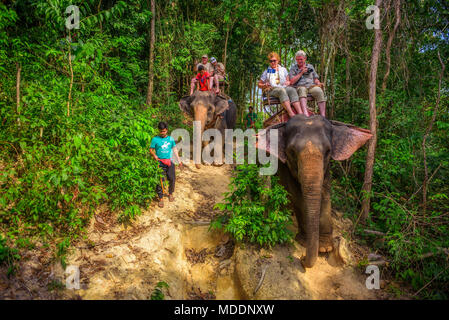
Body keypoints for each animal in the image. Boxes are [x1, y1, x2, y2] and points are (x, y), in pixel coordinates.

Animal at [258, 115, 372, 268]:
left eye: (328, 151)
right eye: (292, 152)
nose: (302, 257)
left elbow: (325, 193)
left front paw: (325, 248)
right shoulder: (285, 166)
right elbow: (296, 194)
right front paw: (304, 242)